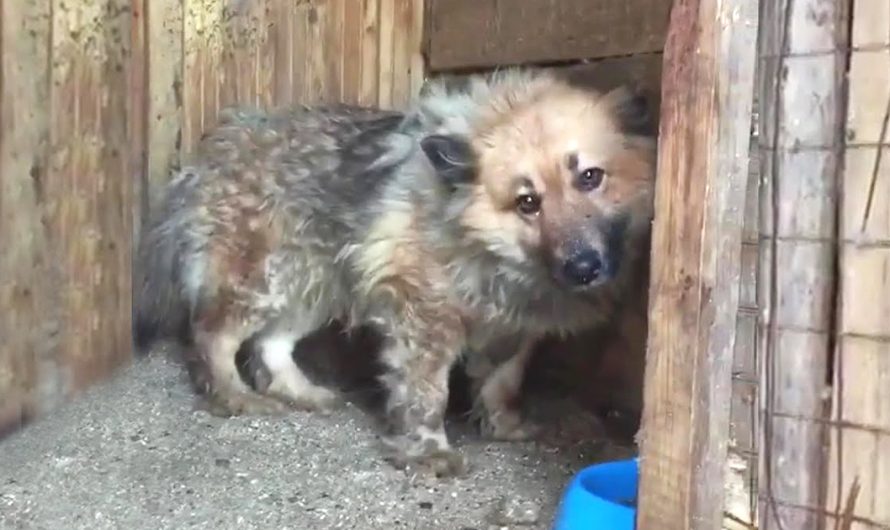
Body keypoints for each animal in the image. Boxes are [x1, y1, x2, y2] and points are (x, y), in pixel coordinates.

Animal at [135, 68, 656, 476]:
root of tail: (215, 150)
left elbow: (505, 381)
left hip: (312, 282)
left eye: (590, 177)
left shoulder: (515, 324)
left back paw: (303, 392)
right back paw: (234, 395)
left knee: (271, 343)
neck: (485, 247)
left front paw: (503, 425)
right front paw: (429, 451)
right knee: (214, 336)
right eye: (527, 202)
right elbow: (426, 393)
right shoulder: (423, 312)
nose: (584, 267)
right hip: (263, 279)